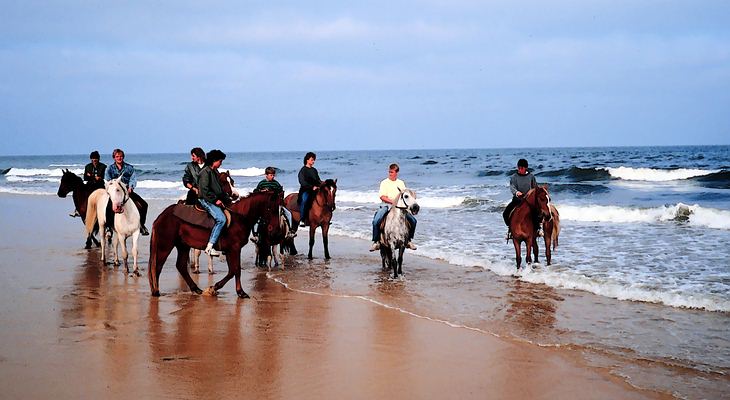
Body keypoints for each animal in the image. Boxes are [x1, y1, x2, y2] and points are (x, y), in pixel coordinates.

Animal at [148, 190, 284, 296]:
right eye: (271, 209)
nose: (276, 231)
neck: (239, 218)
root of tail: (160, 217)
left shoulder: (230, 250)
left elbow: (233, 270)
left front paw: (222, 289)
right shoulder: (234, 249)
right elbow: (236, 270)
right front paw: (236, 291)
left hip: (183, 246)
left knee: (180, 266)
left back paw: (195, 289)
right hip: (165, 246)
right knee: (158, 266)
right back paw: (156, 291)